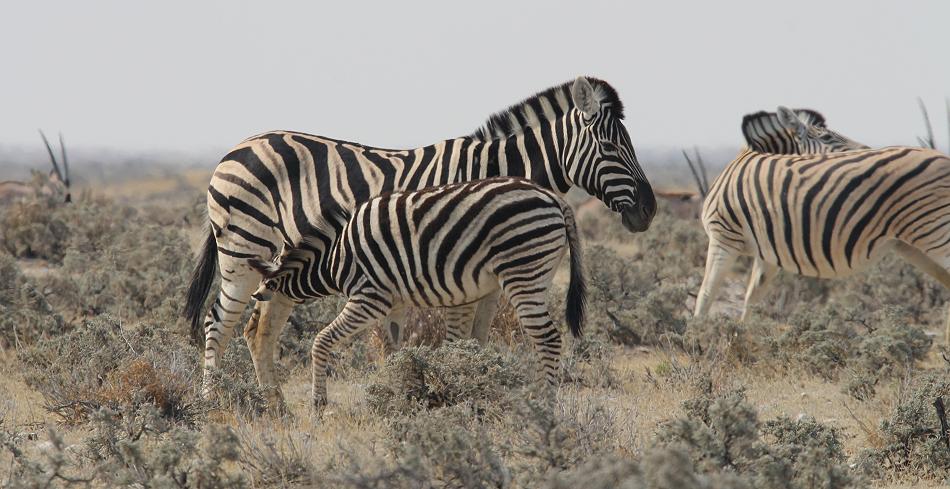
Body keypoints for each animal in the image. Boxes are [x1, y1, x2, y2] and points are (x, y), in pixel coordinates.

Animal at [245, 175, 588, 408]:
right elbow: (395, 352)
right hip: (534, 274)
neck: (335, 257)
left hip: (523, 272)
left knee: (548, 338)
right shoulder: (394, 304)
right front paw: (398, 395)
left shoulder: (369, 297)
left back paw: (544, 404)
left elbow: (322, 340)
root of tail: (555, 199)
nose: (254, 299)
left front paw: (319, 405)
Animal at [696, 105, 950, 342]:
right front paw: (738, 340)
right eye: (828, 137)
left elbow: (705, 294)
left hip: (936, 233)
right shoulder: (766, 251)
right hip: (915, 246)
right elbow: (750, 299)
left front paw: (696, 342)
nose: (868, 150)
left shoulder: (723, 237)